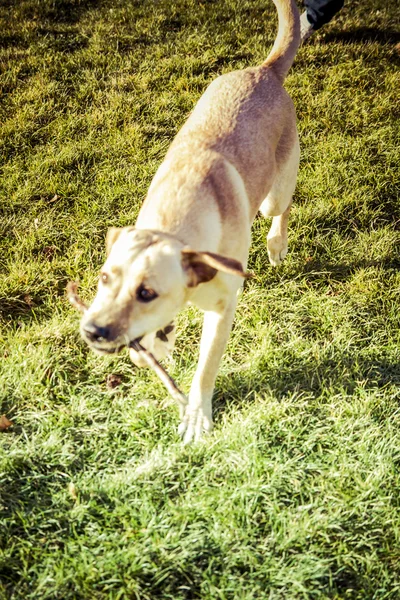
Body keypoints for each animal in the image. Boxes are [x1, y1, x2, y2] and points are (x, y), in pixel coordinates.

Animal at [80, 0, 300, 440]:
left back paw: (276, 244)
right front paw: (159, 342)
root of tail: (264, 71)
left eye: (146, 292)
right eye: (104, 278)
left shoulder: (222, 309)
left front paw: (197, 416)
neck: (177, 221)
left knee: (281, 209)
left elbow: (205, 370)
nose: (92, 330)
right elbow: (148, 346)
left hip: (275, 194)